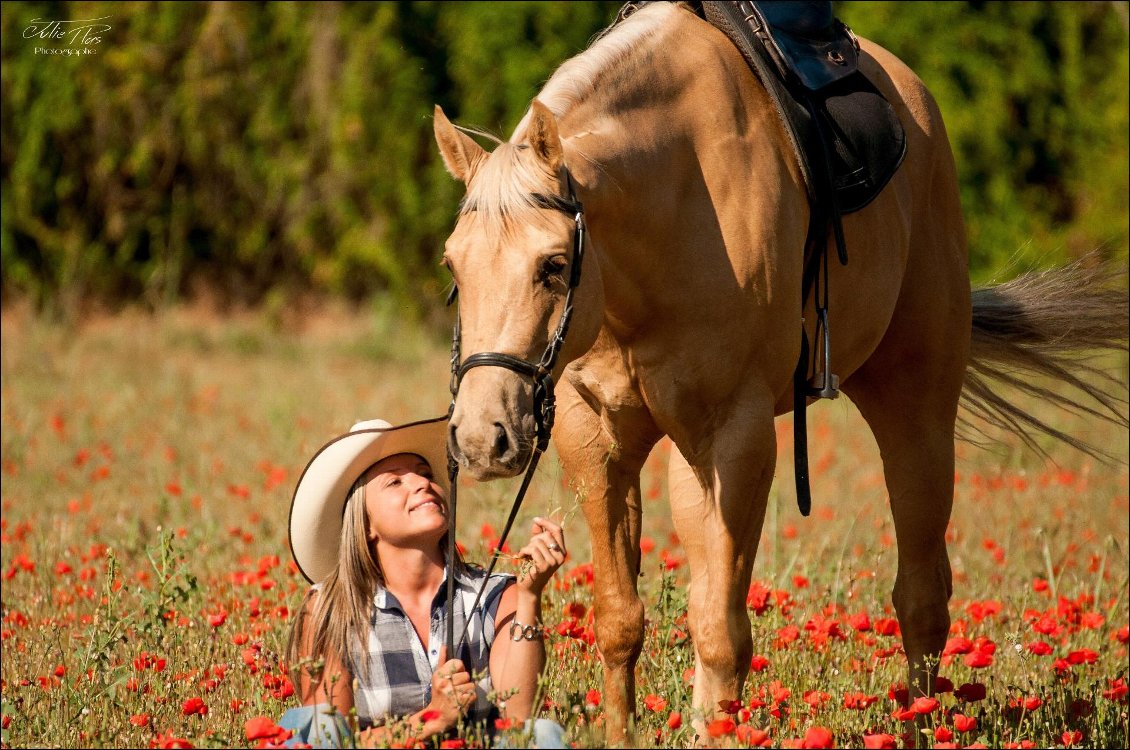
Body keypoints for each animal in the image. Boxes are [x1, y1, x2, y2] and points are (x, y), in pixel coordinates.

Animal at [429, 2, 1120, 745]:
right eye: (453, 265)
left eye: (553, 265)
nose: (482, 437)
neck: (669, 208)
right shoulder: (597, 439)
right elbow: (622, 622)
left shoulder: (738, 438)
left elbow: (723, 635)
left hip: (916, 409)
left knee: (921, 599)